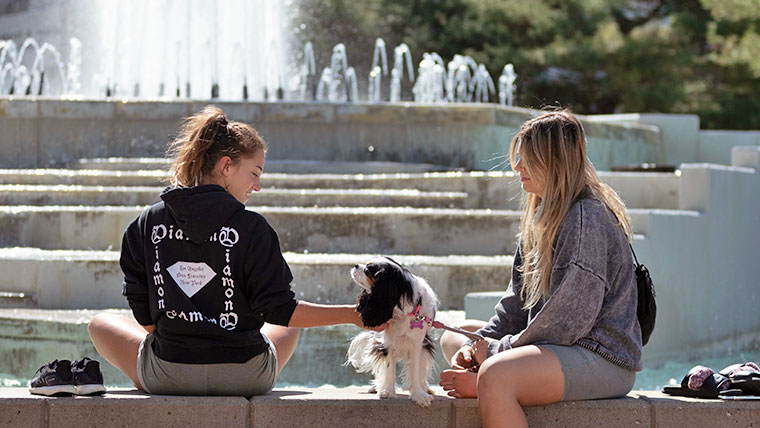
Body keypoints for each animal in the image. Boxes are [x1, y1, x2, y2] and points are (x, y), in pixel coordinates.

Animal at [346, 256, 436, 406]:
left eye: (367, 270)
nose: (356, 265)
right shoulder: (387, 343)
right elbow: (388, 367)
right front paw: (387, 391)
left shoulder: (417, 344)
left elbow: (415, 369)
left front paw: (419, 394)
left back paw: (424, 387)